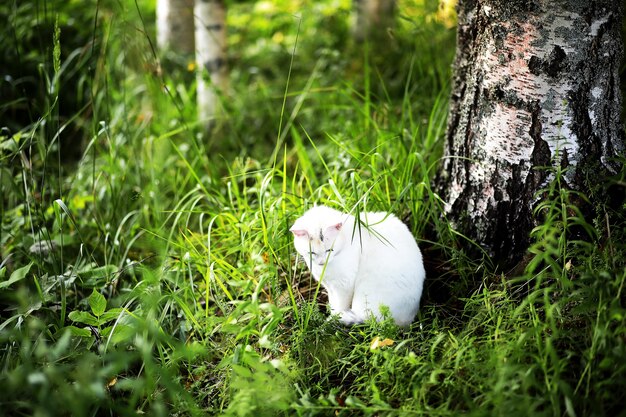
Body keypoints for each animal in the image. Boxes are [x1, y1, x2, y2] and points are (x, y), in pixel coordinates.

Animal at [288, 205, 424, 324]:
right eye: (312, 253)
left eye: (329, 250)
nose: (321, 262)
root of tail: (406, 322)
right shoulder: (330, 286)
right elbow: (333, 303)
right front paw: (332, 313)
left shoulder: (344, 285)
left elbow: (340, 306)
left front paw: (334, 317)